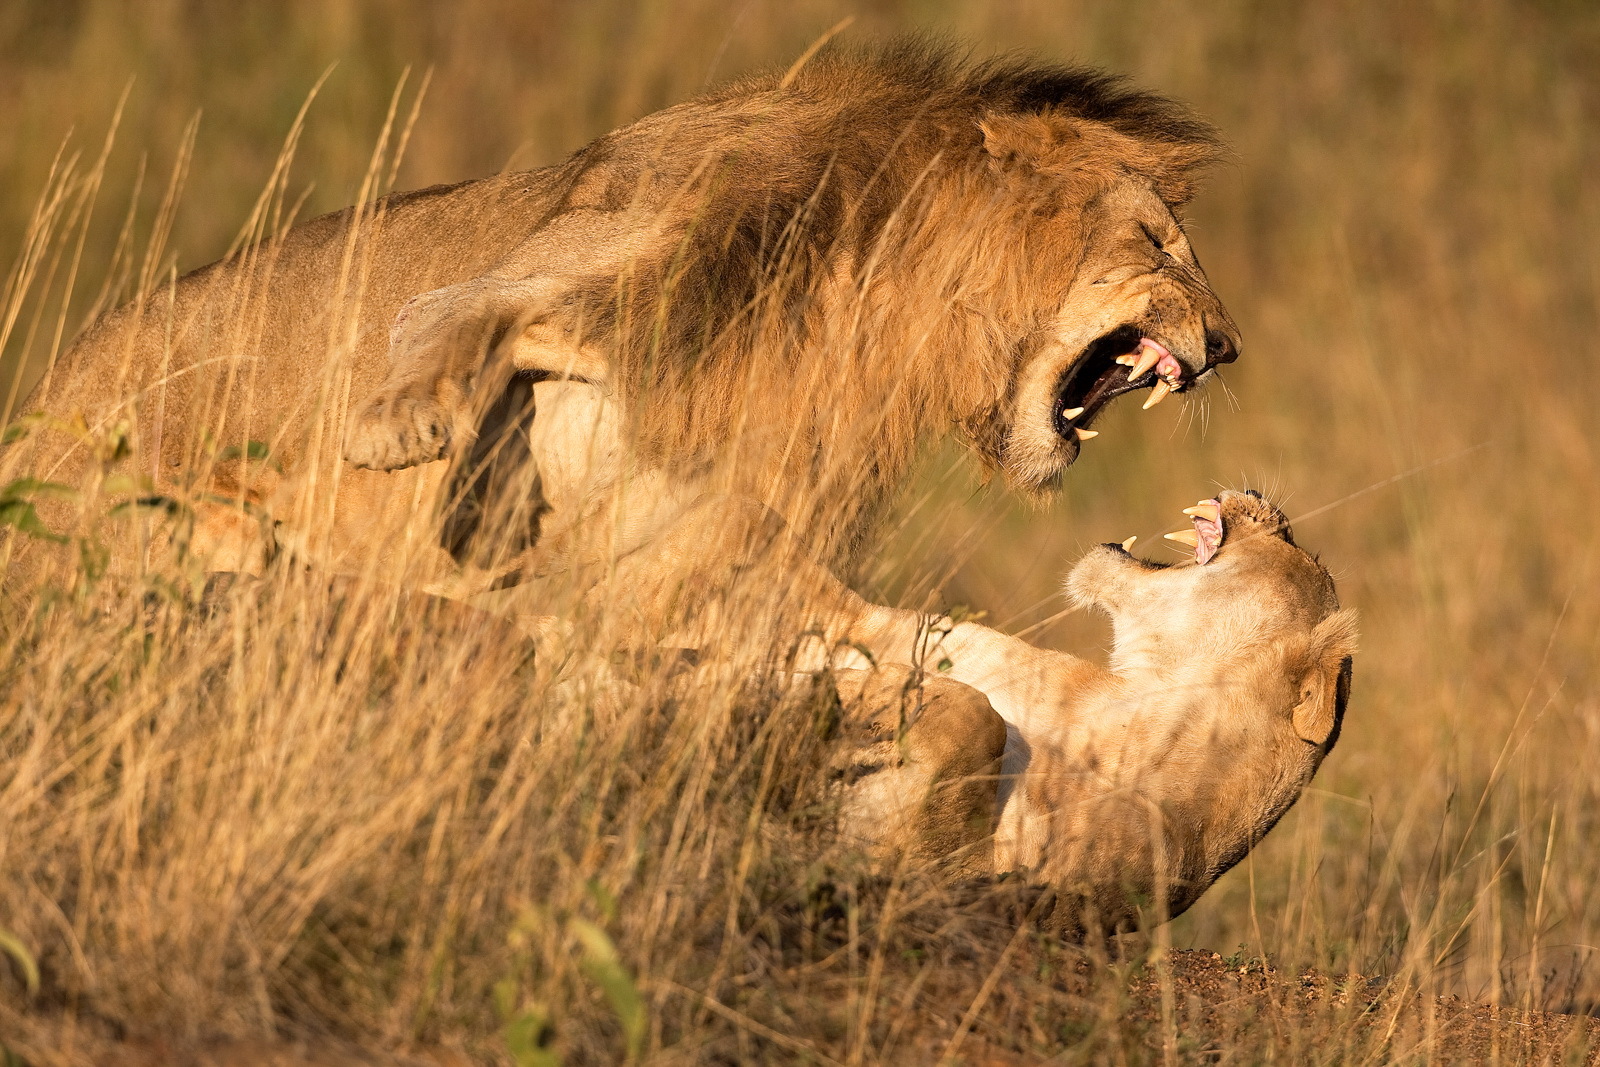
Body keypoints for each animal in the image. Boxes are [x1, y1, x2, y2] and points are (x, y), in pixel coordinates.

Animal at [0, 43, 1235, 633]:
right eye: (1159, 243)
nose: (1225, 345)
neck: (863, 309)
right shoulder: (589, 254)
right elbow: (448, 318)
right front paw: (405, 431)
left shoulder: (733, 529)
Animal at [825, 489, 1363, 940]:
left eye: (1290, 540)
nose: (1256, 494)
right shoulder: (871, 621)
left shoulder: (947, 880)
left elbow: (977, 720)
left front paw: (830, 699)